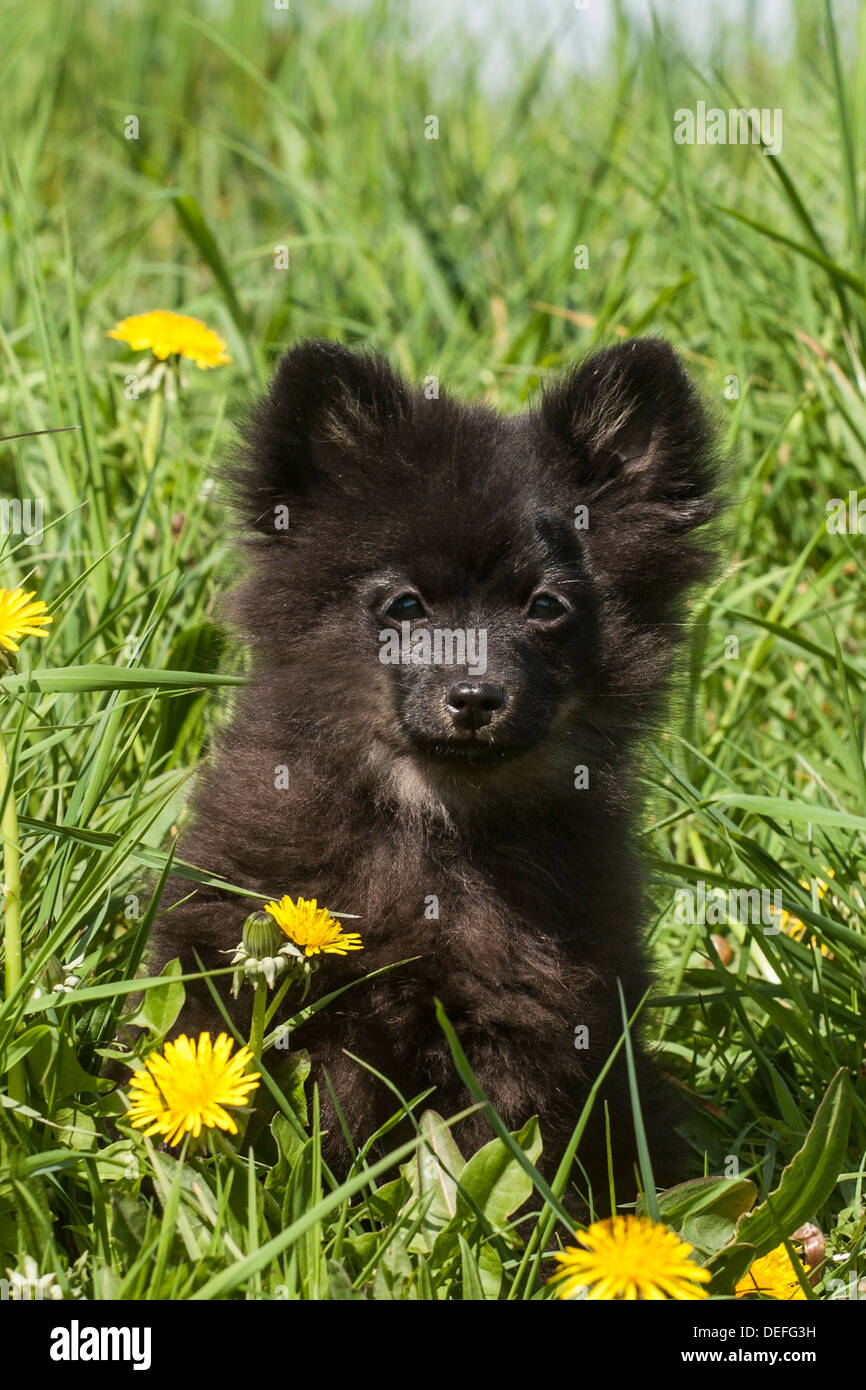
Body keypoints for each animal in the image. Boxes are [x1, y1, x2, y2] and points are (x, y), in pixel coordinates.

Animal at [148, 336, 717, 1195]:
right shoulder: (241, 962)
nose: (475, 695)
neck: (428, 820)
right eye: (407, 605)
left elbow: (490, 1158)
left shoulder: (520, 1020)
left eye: (545, 606)